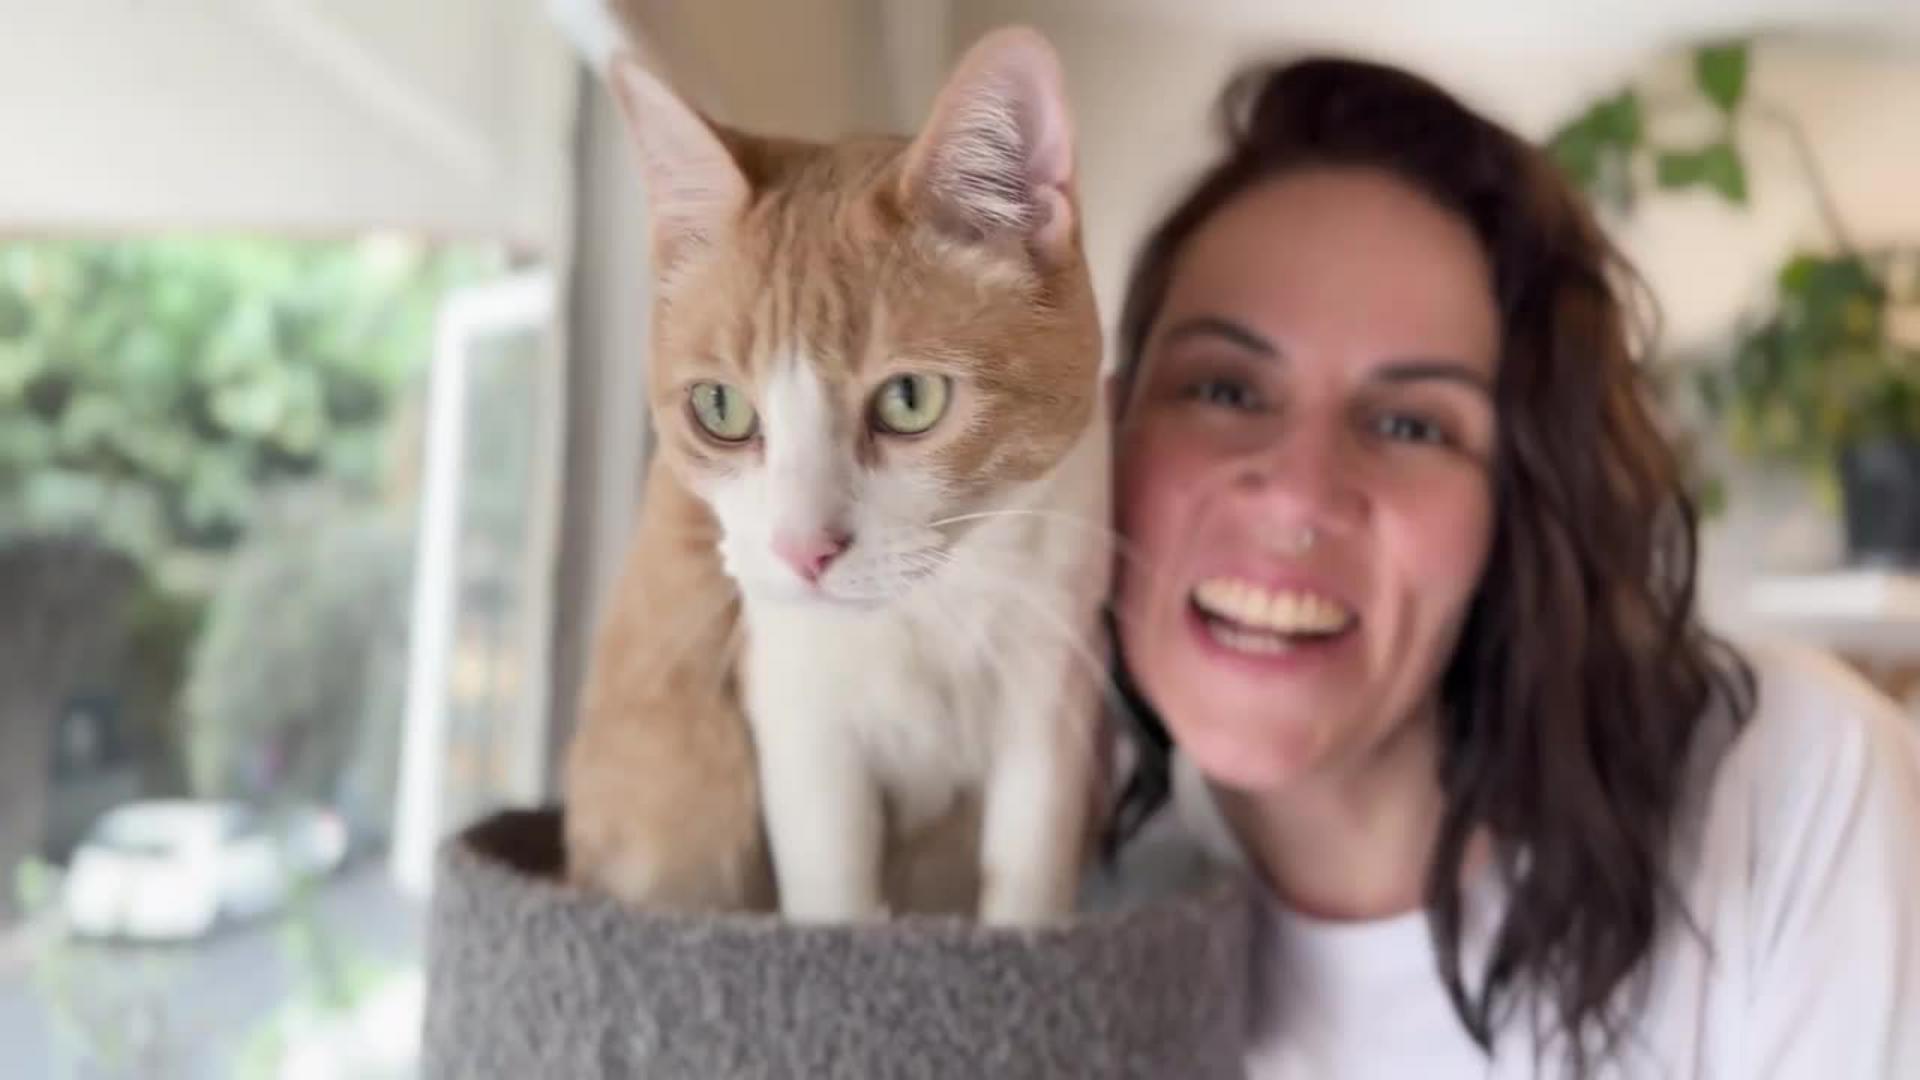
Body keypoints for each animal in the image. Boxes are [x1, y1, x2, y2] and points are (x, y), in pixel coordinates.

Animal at [563, 26, 1110, 925]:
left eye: (911, 398)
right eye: (720, 407)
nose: (803, 550)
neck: (928, 613)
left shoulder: (1049, 694)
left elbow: (1026, 874)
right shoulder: (797, 713)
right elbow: (833, 894)